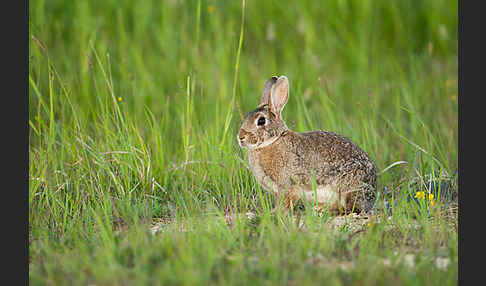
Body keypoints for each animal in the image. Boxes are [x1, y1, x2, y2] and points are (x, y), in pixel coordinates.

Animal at [237, 76, 378, 214]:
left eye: (261, 121)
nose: (240, 137)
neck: (272, 141)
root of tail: (372, 197)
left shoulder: (289, 185)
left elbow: (287, 202)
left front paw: (274, 213)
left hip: (348, 188)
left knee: (349, 208)